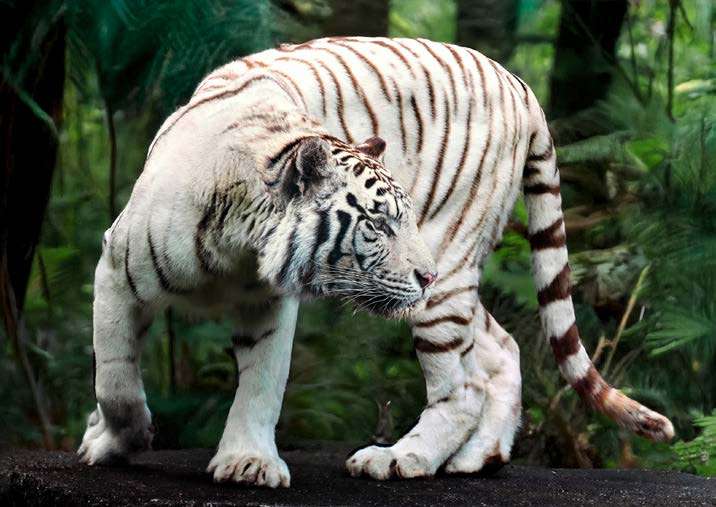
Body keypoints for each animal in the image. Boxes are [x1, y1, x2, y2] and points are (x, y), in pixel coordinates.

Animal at [78, 37, 674, 488]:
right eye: (379, 223)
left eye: (400, 220)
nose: (423, 272)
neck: (239, 244)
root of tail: (520, 85)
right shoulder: (117, 272)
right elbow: (115, 381)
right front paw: (112, 438)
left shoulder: (271, 304)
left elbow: (261, 383)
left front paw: (247, 463)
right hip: (452, 283)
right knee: (501, 349)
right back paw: (476, 459)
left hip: (447, 271)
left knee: (462, 388)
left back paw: (402, 458)